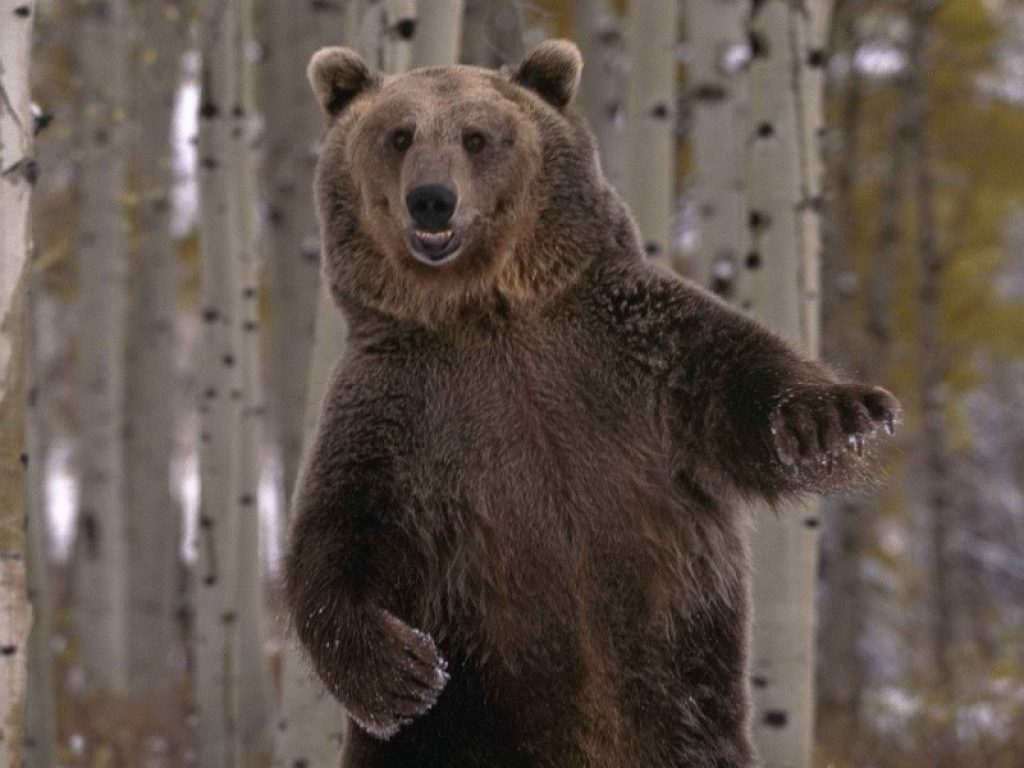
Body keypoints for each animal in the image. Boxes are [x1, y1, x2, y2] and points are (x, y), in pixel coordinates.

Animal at [285, 39, 901, 768]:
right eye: (399, 134)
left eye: (477, 137)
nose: (431, 200)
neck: (485, 311)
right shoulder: (398, 413)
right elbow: (336, 537)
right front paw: (403, 672)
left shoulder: (631, 353)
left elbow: (739, 376)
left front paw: (836, 419)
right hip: (466, 731)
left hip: (684, 710)